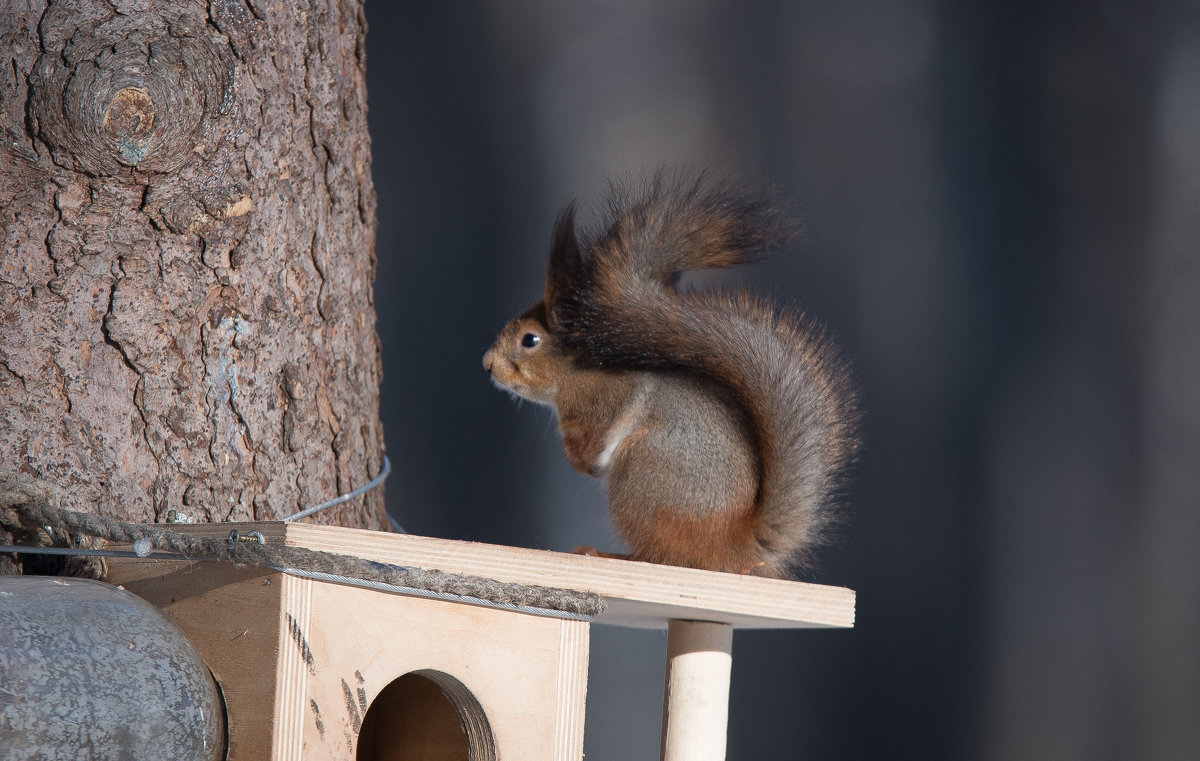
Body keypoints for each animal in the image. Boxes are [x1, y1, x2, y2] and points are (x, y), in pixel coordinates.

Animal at [482, 171, 859, 573]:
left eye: (530, 339)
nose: (487, 364)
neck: (571, 374)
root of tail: (736, 547)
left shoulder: (611, 394)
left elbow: (608, 424)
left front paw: (584, 461)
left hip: (643, 475)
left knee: (660, 556)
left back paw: (606, 554)